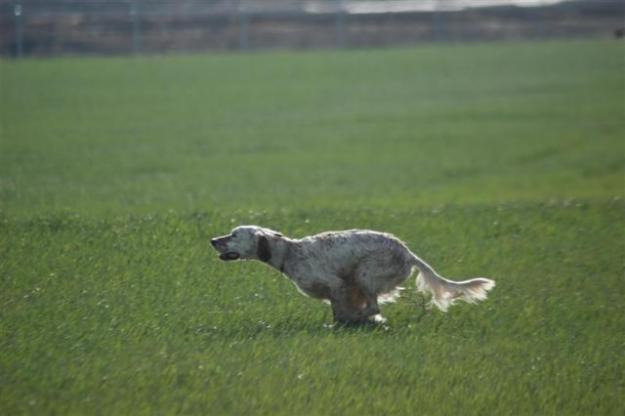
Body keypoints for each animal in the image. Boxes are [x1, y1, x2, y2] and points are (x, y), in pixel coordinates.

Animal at [212, 224, 494, 324]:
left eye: (234, 235)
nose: (213, 240)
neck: (291, 254)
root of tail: (407, 252)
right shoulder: (344, 290)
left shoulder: (338, 285)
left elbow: (341, 313)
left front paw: (346, 322)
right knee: (373, 307)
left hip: (365, 274)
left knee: (374, 306)